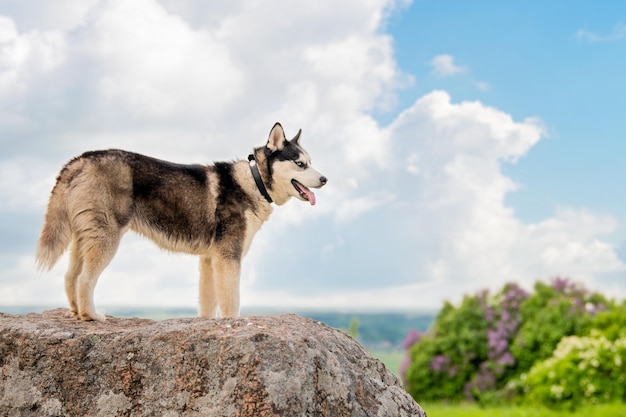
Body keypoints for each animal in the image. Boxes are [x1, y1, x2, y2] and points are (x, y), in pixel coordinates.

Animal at [35, 122, 326, 320]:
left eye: (311, 162)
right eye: (300, 163)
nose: (325, 179)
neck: (253, 181)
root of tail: (80, 159)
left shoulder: (209, 260)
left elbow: (208, 304)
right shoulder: (228, 258)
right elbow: (231, 303)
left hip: (84, 237)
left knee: (70, 277)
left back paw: (76, 312)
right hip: (106, 239)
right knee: (85, 279)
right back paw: (91, 316)